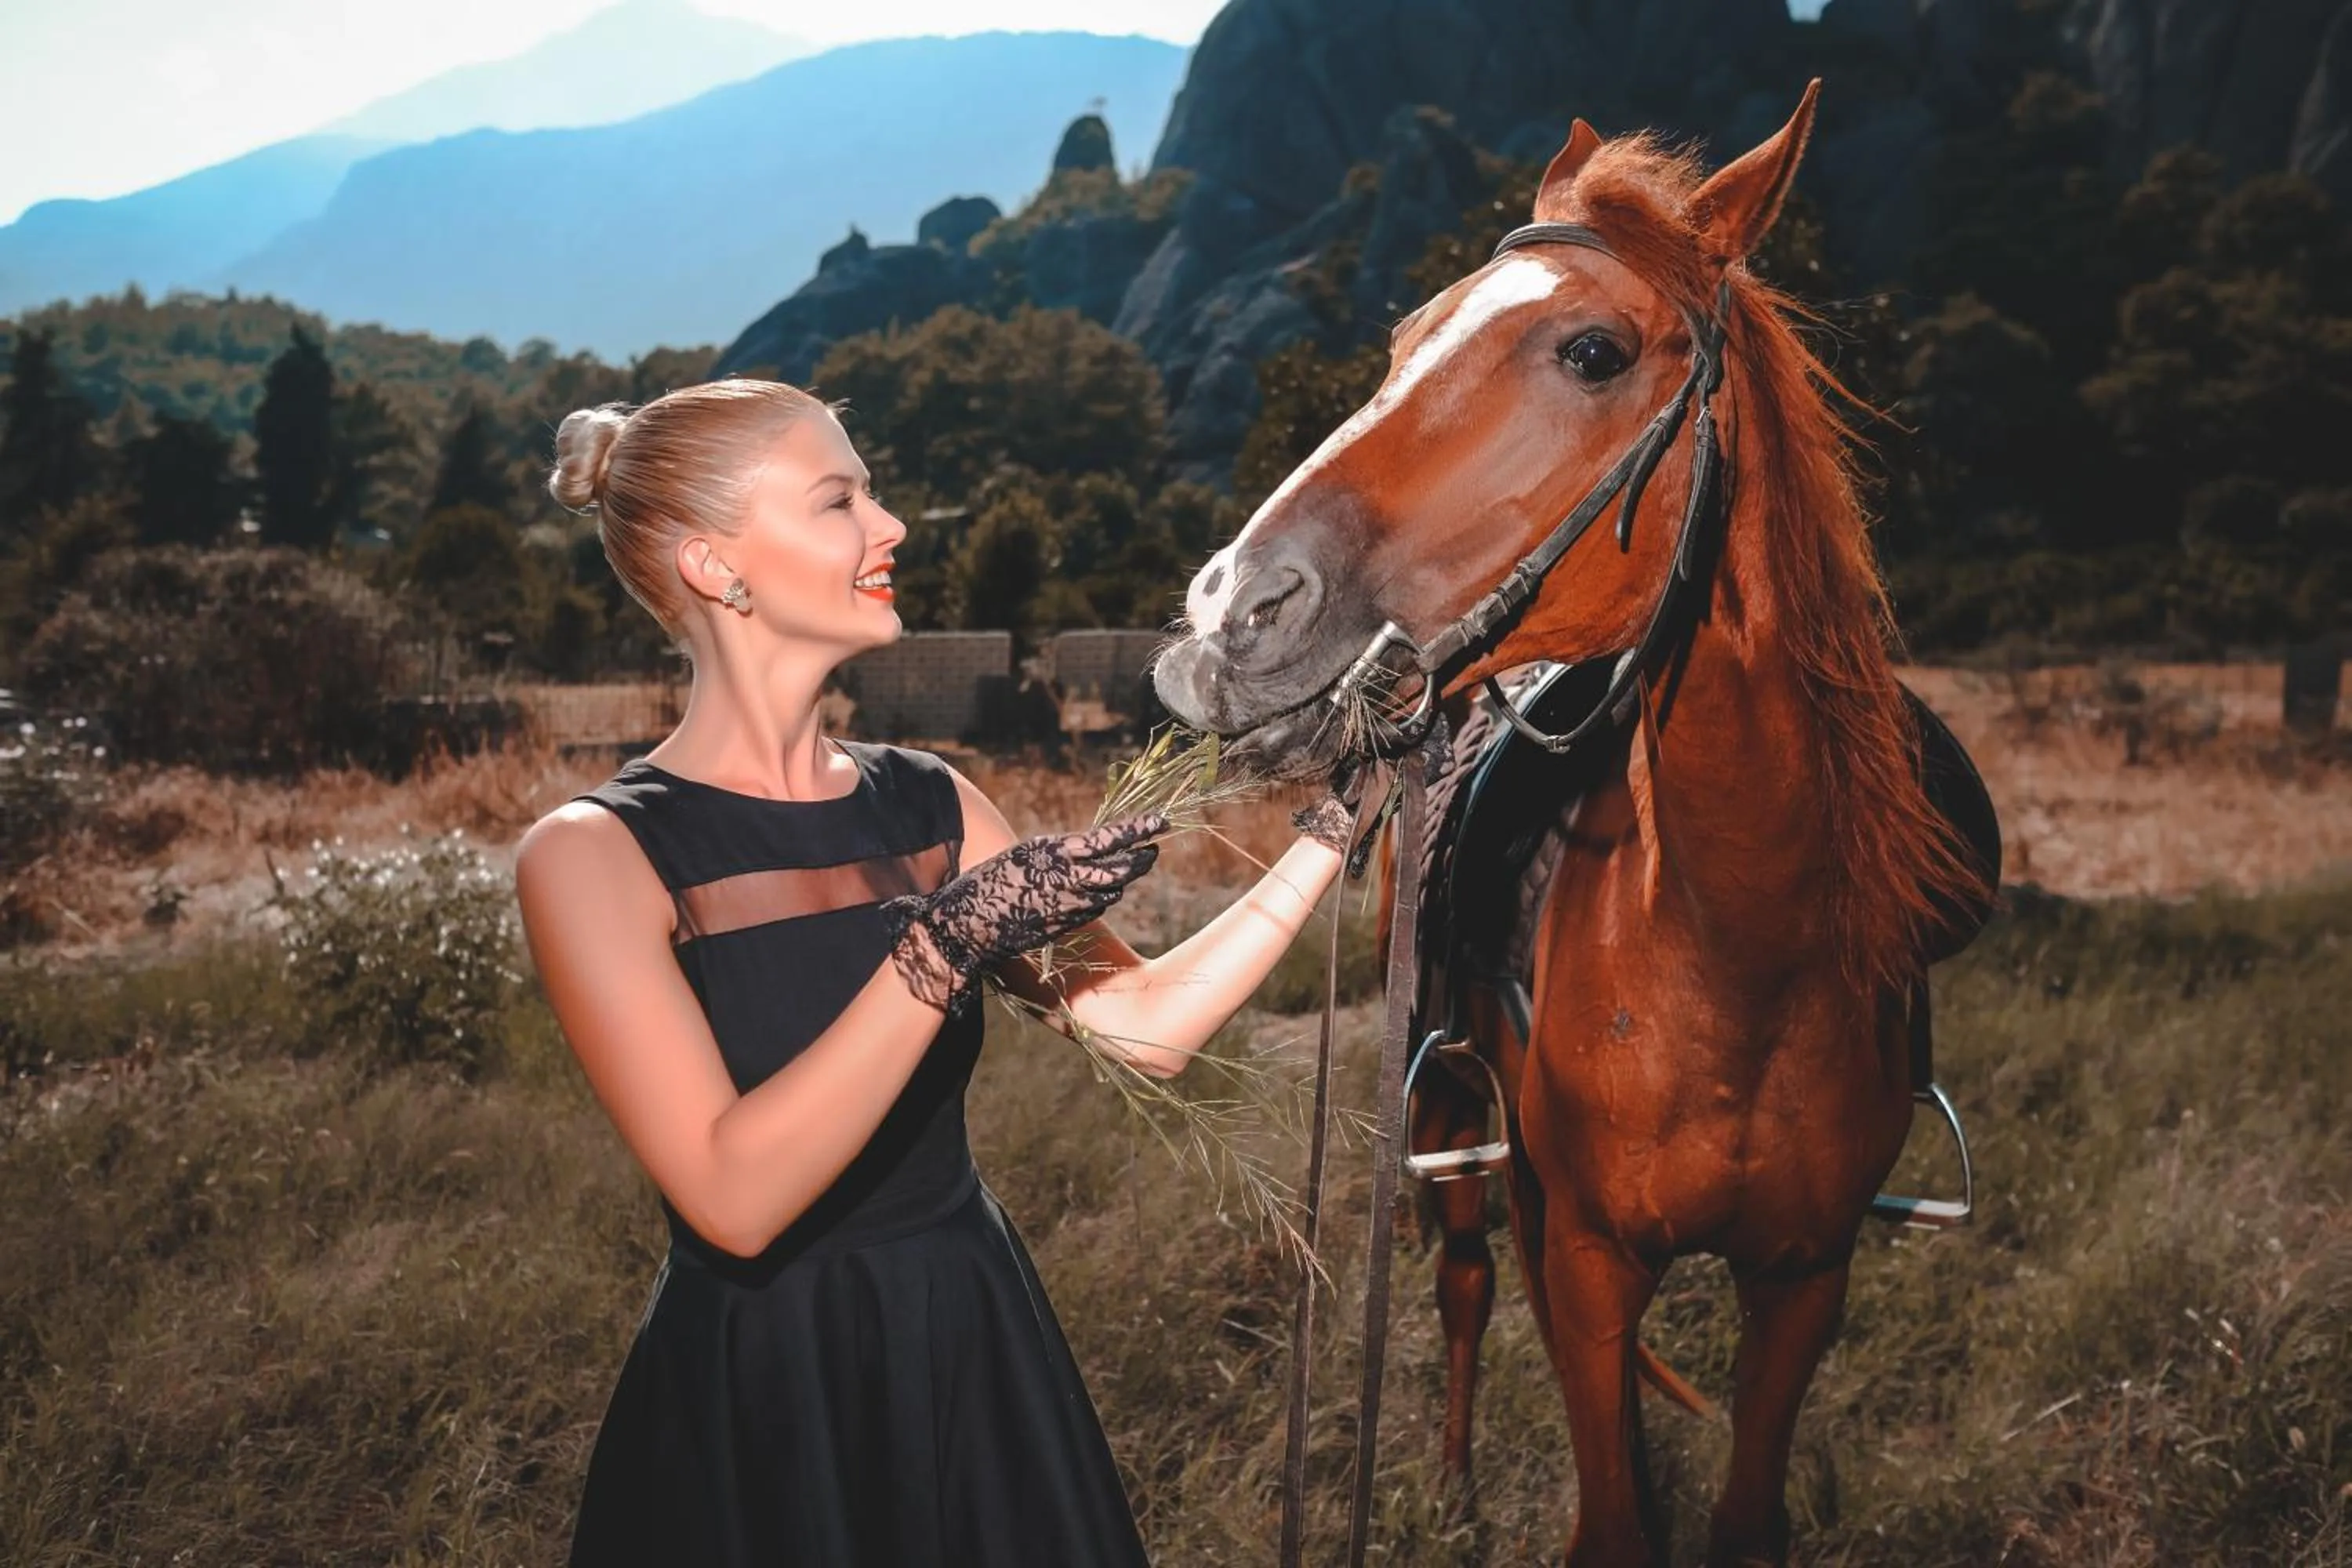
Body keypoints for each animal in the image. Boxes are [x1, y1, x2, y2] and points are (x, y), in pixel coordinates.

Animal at [1150, 82, 1993, 1567]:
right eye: (1404, 342)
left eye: (1593, 351)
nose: (1226, 617)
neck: (1746, 955)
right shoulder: (1592, 1262)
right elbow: (1610, 1503)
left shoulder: (1805, 1280)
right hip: (1455, 1124)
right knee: (1467, 1284)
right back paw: (1456, 1485)